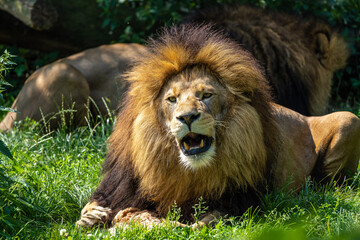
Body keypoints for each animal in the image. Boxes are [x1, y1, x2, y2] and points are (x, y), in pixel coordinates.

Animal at [76, 24, 360, 229]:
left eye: (206, 95)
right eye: (172, 99)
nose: (187, 117)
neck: (188, 171)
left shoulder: (242, 199)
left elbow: (208, 220)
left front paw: (176, 226)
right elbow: (94, 207)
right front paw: (93, 216)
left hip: (349, 120)